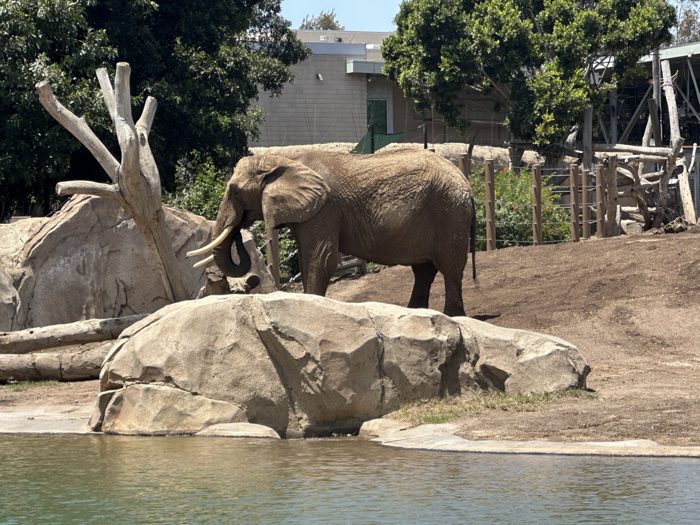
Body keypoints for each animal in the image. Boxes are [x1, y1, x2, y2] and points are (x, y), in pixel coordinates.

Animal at [187, 149, 476, 316]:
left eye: (235, 191)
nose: (239, 228)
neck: (285, 160)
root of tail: (466, 181)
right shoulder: (310, 212)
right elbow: (308, 260)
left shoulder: (325, 209)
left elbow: (320, 260)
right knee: (424, 270)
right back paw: (415, 312)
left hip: (449, 213)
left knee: (450, 268)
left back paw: (452, 316)